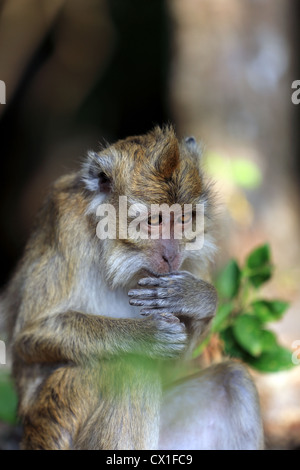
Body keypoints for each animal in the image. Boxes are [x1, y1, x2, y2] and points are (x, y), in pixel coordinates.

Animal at [0, 125, 262, 448]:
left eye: (185, 218)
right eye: (154, 220)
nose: (172, 255)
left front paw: (195, 298)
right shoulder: (66, 227)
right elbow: (30, 335)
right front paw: (144, 336)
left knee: (233, 380)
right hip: (56, 419)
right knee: (130, 370)